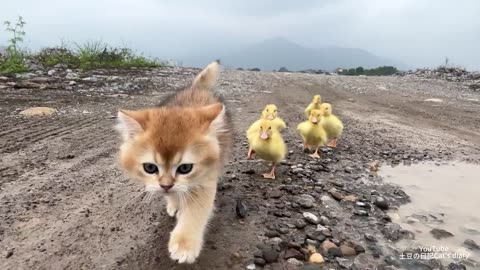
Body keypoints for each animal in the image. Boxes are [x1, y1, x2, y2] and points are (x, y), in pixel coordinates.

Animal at [114, 61, 231, 264]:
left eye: (185, 168)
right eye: (150, 167)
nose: (166, 185)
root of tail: (196, 88)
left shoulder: (204, 180)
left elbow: (195, 211)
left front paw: (184, 245)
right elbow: (171, 194)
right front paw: (174, 203)